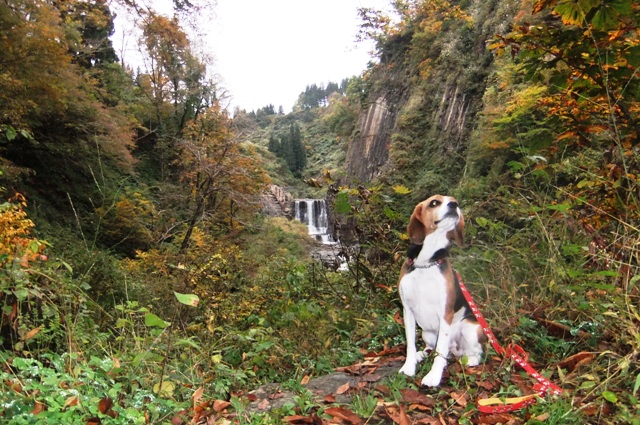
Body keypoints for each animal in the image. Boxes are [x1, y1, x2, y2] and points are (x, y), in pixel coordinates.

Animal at [396, 194, 484, 386]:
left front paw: (433, 376)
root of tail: (456, 349)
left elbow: (440, 354)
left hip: (470, 328)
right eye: (434, 203)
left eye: (454, 200)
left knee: (476, 352)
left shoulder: (445, 313)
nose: (454, 205)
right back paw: (422, 354)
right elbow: (410, 344)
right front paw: (409, 366)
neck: (426, 263)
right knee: (433, 348)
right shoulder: (407, 311)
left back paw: (470, 360)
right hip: (427, 333)